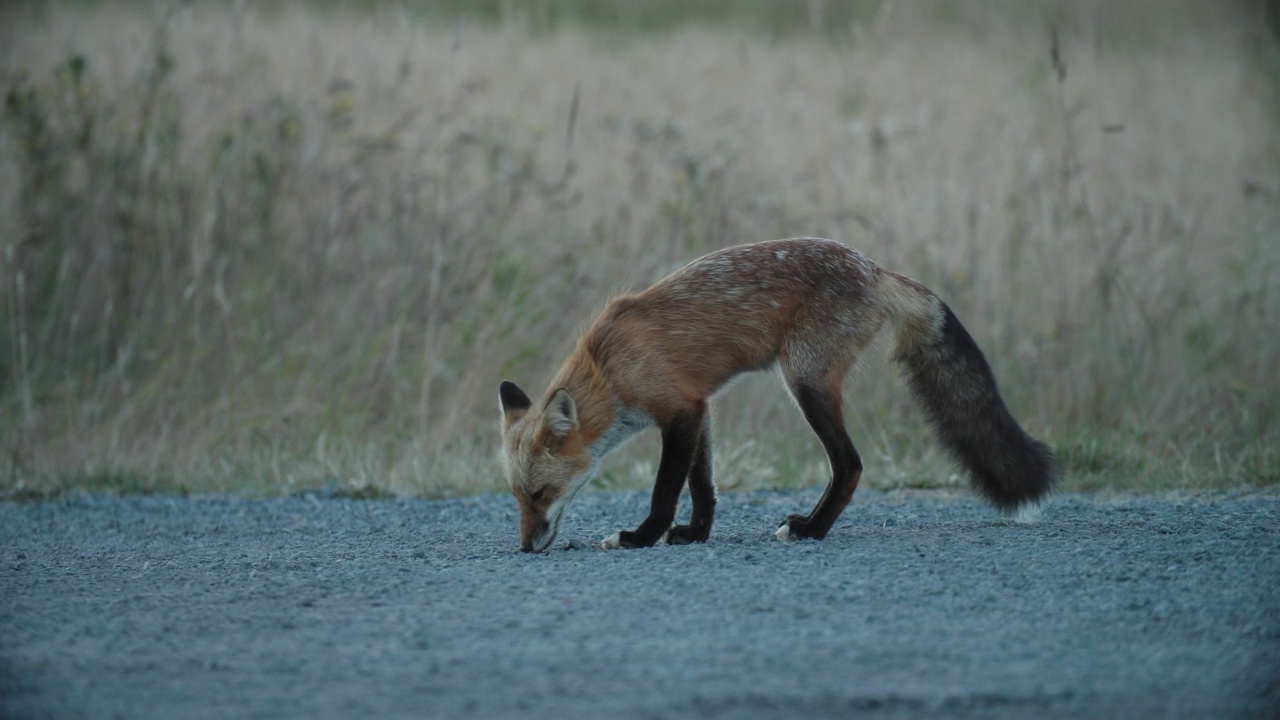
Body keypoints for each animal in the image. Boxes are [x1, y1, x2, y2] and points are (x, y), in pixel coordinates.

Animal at [499, 238, 1059, 550]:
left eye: (540, 494)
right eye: (517, 497)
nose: (526, 548)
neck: (608, 371)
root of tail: (875, 269)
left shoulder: (678, 411)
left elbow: (664, 492)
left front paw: (641, 537)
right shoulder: (700, 408)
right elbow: (703, 487)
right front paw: (694, 535)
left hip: (805, 383)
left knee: (850, 465)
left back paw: (811, 530)